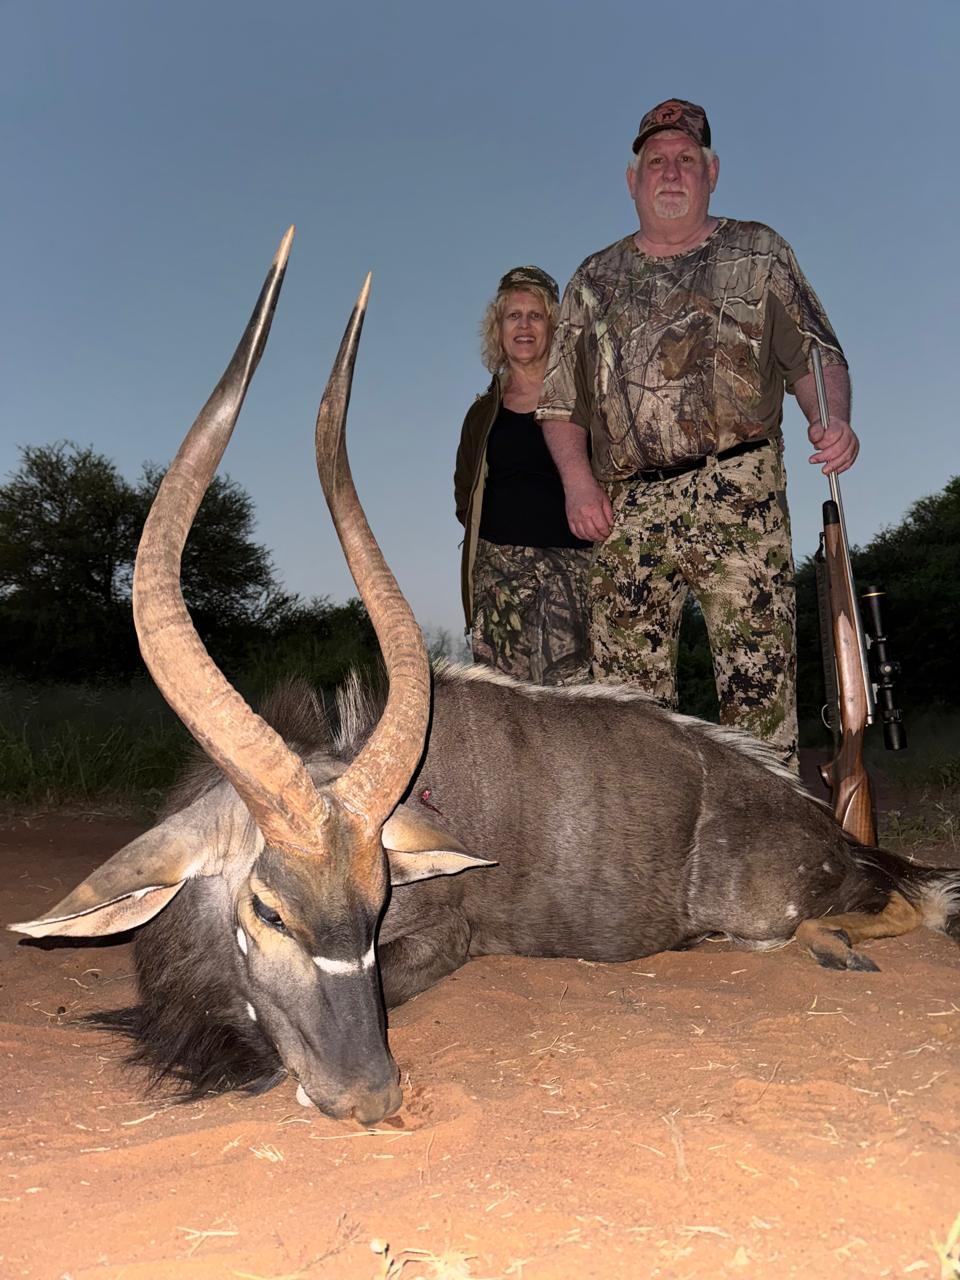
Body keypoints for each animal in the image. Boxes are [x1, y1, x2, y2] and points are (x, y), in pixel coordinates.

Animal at [10, 229, 960, 1127]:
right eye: (269, 910)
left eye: (379, 900)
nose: (371, 1096)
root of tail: (824, 822)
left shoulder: (439, 944)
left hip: (780, 901)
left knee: (906, 901)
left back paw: (826, 942)